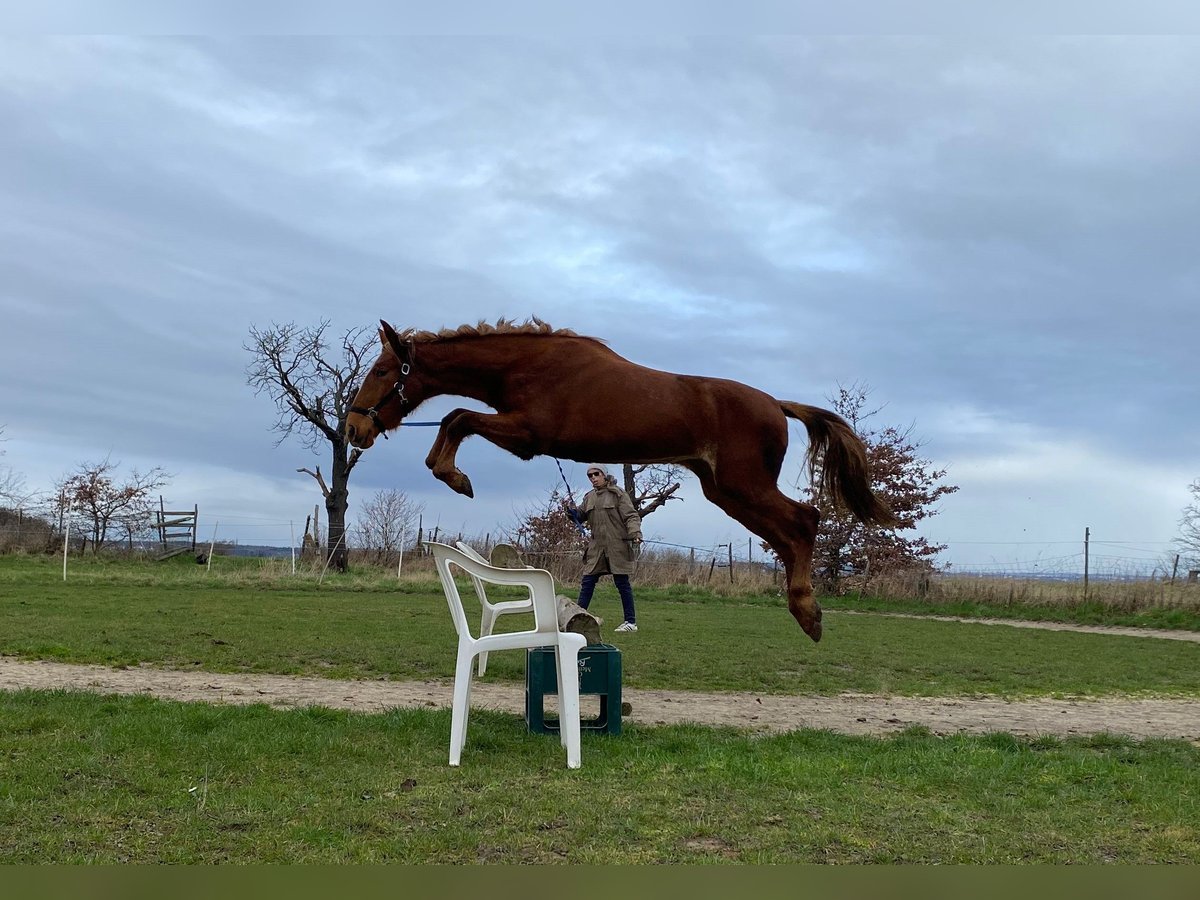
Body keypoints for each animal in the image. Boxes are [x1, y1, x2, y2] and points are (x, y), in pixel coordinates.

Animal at [343, 316, 897, 643]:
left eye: (380, 371)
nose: (354, 429)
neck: (526, 364)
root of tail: (776, 404)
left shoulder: (528, 435)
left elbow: (457, 417)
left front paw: (454, 476)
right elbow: (454, 419)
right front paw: (450, 472)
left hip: (744, 486)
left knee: (805, 520)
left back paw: (808, 613)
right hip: (726, 491)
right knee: (790, 532)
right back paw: (806, 610)